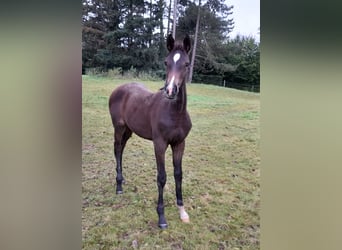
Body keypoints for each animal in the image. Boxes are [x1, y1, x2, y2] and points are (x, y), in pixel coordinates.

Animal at [108, 34, 191, 229]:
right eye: (166, 62)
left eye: (186, 63)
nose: (170, 90)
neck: (175, 113)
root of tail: (118, 89)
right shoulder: (159, 144)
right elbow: (162, 177)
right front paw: (161, 217)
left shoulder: (179, 144)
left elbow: (178, 174)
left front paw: (182, 211)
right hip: (118, 128)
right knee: (117, 149)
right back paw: (119, 186)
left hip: (128, 130)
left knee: (121, 150)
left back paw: (122, 179)